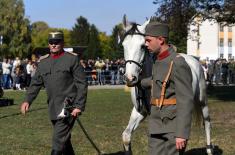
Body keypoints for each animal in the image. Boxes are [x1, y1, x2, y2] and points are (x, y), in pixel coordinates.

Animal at [121, 15, 213, 155]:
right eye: (123, 45)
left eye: (142, 46)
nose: (130, 78)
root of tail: (195, 61)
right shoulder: (139, 111)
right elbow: (126, 136)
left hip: (202, 102)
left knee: (206, 122)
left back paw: (209, 149)